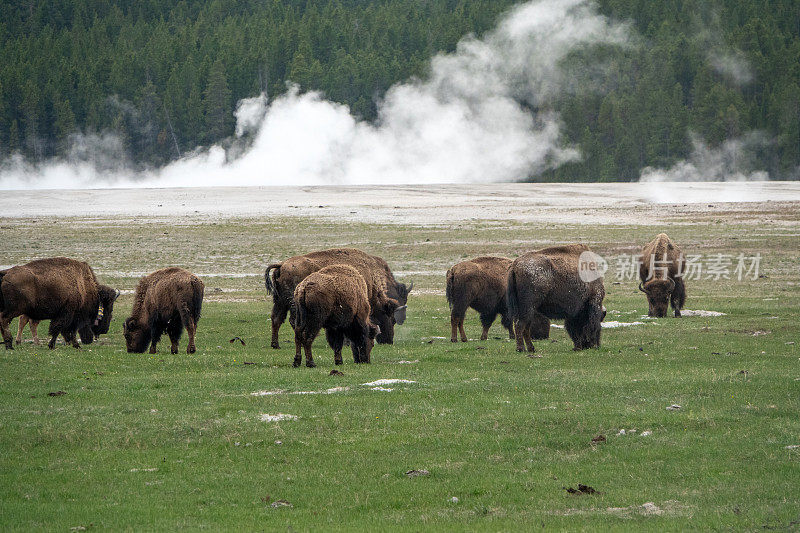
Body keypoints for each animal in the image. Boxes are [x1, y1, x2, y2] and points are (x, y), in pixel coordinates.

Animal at [266, 249, 412, 350]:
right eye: (391, 318)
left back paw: (275, 345)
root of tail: (281, 265)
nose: (388, 341)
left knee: (276, 319)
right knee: (292, 321)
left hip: (280, 301)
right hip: (293, 304)